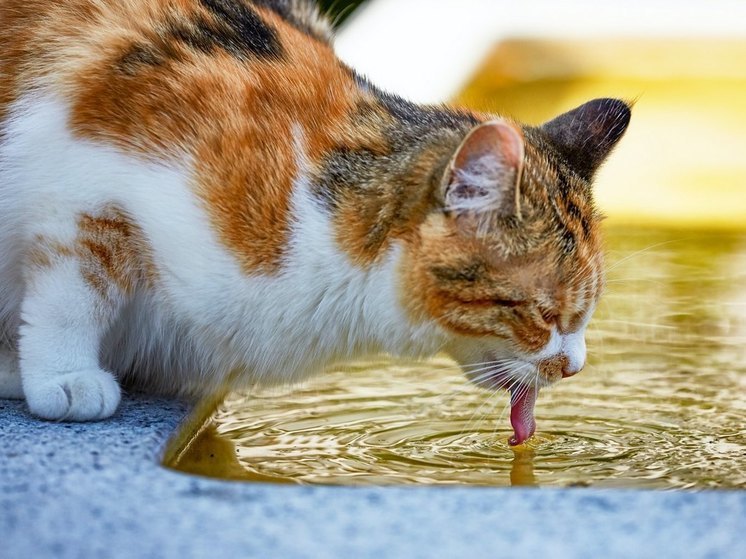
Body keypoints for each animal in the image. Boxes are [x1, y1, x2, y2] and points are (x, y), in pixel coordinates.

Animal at [0, 0, 628, 446]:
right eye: (544, 315)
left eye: (584, 315)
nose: (575, 366)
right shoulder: (83, 181)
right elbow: (76, 291)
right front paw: (62, 376)